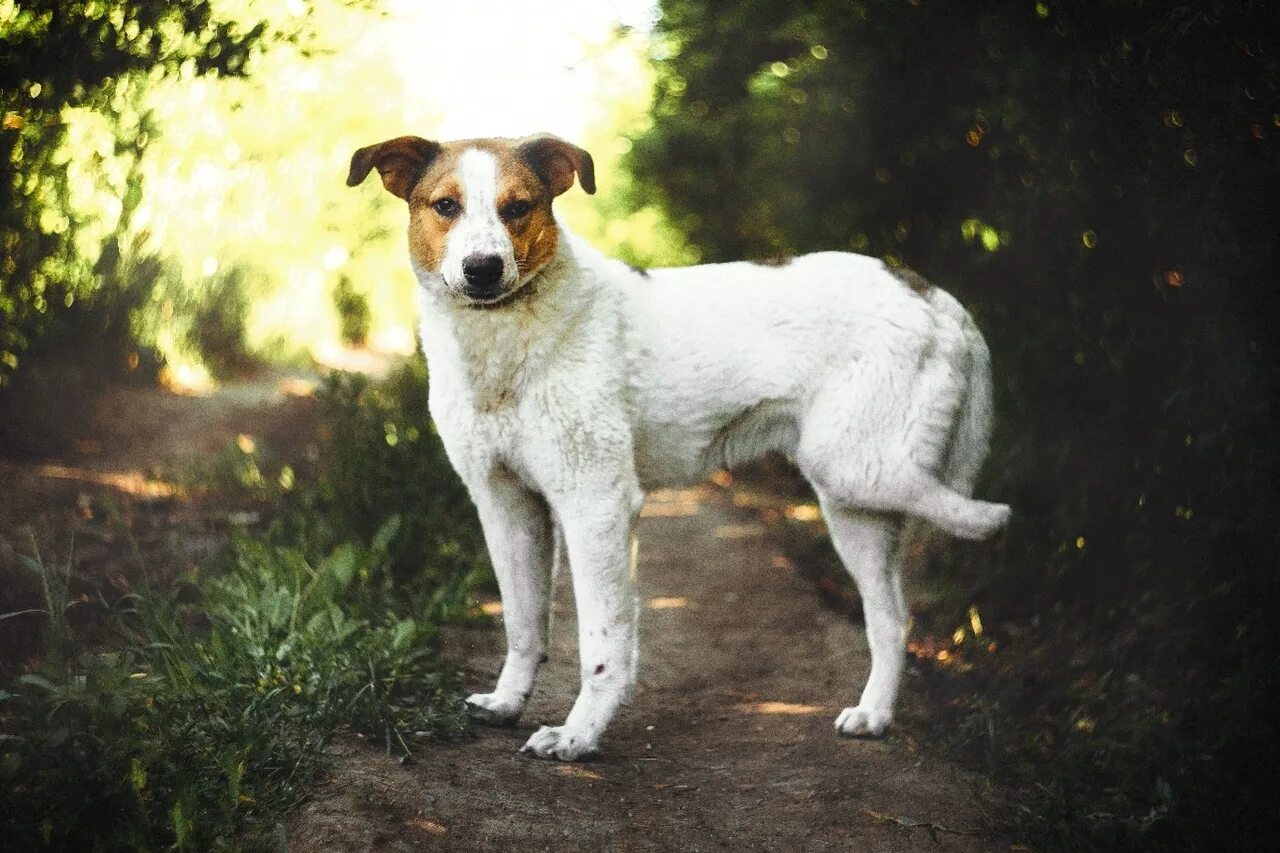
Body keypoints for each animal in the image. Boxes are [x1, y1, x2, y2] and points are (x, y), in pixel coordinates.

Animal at [348, 133, 1008, 758]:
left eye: (519, 208)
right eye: (446, 206)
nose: (483, 269)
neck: (506, 338)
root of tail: (930, 293)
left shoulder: (597, 506)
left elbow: (602, 644)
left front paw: (579, 737)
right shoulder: (507, 507)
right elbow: (523, 624)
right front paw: (509, 702)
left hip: (856, 468)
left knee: (959, 514)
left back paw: (992, 524)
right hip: (854, 509)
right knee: (891, 619)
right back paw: (874, 715)